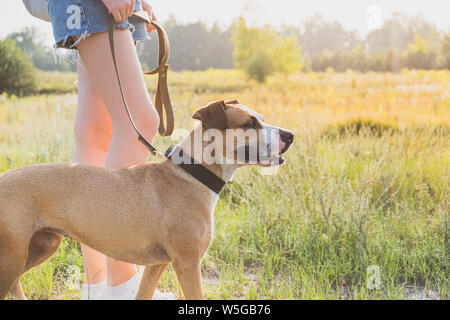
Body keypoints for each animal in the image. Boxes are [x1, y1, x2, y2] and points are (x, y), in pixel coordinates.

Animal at [0, 100, 294, 300]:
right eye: (250, 123)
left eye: (260, 119)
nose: (290, 135)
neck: (192, 173)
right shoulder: (187, 263)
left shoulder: (156, 266)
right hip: (13, 257)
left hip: (41, 246)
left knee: (15, 283)